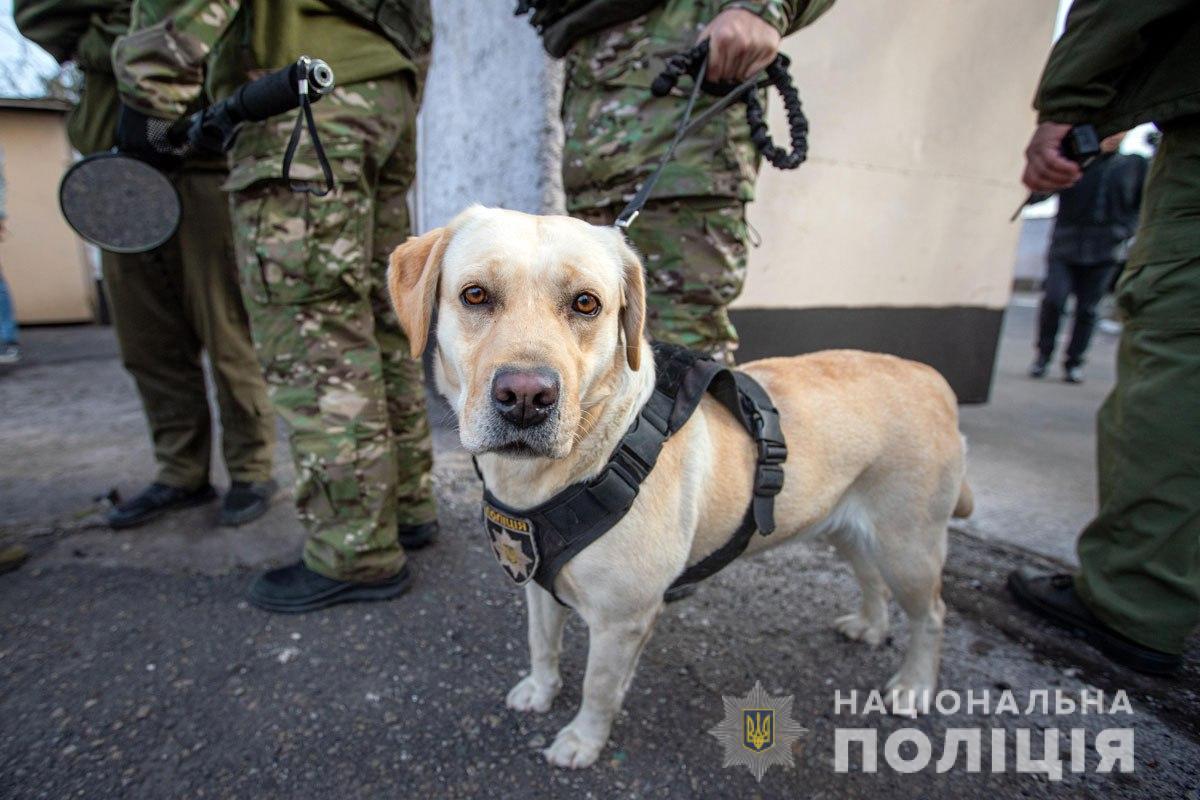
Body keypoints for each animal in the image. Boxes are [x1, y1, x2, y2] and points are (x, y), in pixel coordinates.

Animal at [388, 206, 969, 767]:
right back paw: (870, 625)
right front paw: (541, 688)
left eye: (585, 304)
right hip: (844, 527)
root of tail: (933, 378)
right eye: (475, 295)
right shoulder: (537, 584)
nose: (527, 397)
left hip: (908, 547)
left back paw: (915, 685)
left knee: (932, 615)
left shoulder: (620, 621)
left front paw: (583, 740)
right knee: (870, 576)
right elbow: (541, 643)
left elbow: (599, 688)